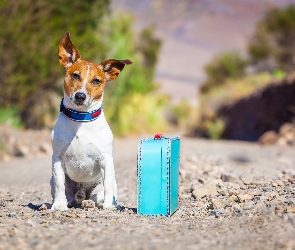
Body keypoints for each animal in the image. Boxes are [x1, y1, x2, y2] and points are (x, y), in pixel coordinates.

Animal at [51, 31, 133, 211]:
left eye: (96, 81)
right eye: (75, 75)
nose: (80, 96)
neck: (80, 119)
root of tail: (81, 193)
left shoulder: (106, 160)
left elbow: (107, 186)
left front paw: (109, 206)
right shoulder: (57, 158)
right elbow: (60, 184)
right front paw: (58, 206)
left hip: (104, 184)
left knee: (98, 196)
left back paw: (92, 202)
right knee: (67, 194)